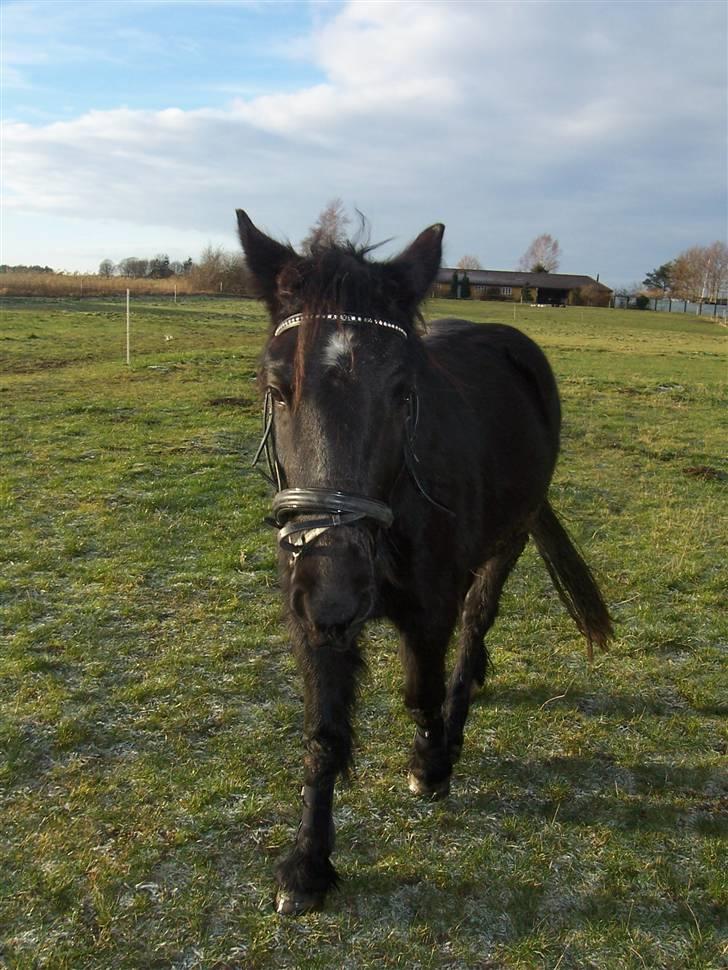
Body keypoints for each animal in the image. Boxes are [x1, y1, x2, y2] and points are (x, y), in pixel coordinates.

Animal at [236, 211, 613, 915]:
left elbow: (422, 690)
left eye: (403, 391)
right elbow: (323, 732)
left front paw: (430, 763)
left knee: (476, 624)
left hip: (508, 541)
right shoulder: (310, 617)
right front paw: (308, 863)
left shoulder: (428, 610)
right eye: (276, 386)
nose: (335, 591)